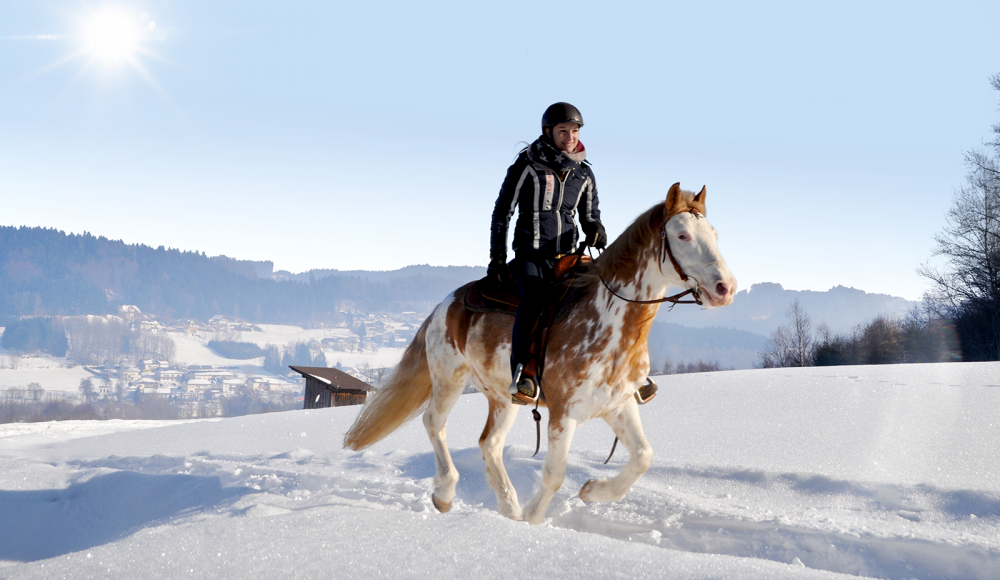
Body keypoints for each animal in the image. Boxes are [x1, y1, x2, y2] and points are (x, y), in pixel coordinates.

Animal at [344, 185, 736, 524]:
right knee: (433, 424)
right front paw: (534, 519)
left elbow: (643, 457)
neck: (607, 321)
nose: (725, 288)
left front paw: (592, 492)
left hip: (503, 398)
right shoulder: (564, 413)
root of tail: (448, 302)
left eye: (714, 233)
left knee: (489, 444)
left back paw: (509, 507)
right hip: (448, 380)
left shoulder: (618, 405)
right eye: (682, 235)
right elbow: (554, 474)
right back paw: (445, 494)